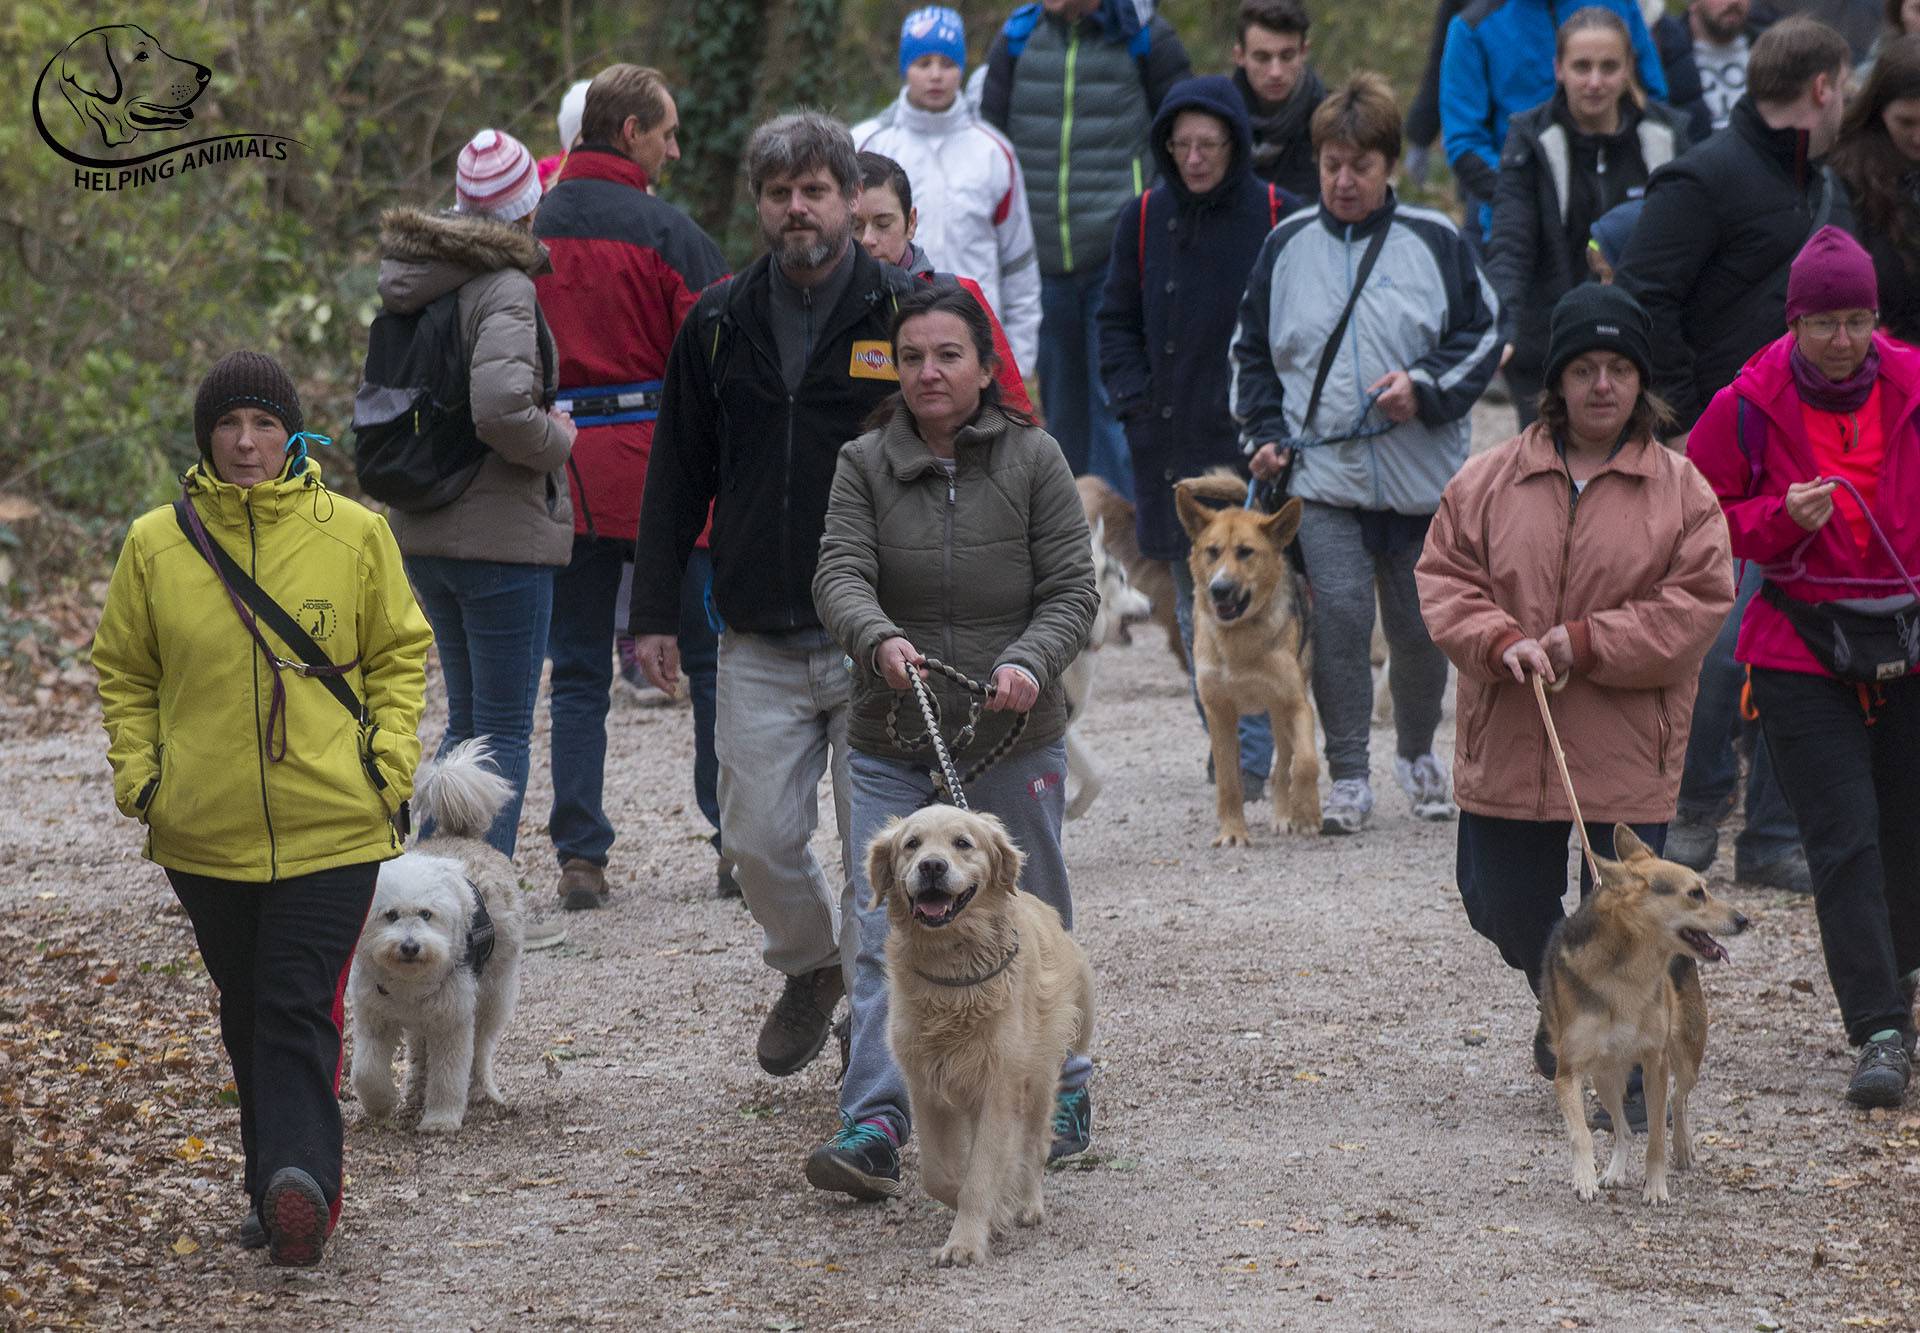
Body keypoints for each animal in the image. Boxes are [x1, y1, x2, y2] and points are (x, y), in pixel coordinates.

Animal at [347, 741, 522, 1137]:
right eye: (391, 915)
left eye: (427, 915)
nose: (411, 946)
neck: (407, 983)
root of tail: (459, 834)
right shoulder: (374, 1018)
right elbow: (366, 1069)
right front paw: (381, 1103)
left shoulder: (451, 1021)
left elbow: (449, 1073)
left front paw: (441, 1119)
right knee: (419, 1053)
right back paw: (414, 1091)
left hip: (491, 993)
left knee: (480, 1049)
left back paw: (481, 1091)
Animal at [1543, 825, 1758, 1213]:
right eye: (1695, 893)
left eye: (1705, 888)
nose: (1743, 920)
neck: (1625, 971)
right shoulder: (1568, 1071)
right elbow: (1581, 1133)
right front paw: (1584, 1178)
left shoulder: (1655, 1063)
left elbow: (1656, 1134)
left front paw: (1656, 1187)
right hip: (1605, 1076)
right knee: (1623, 1128)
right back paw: (1613, 1171)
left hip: (1687, 1054)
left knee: (1678, 1098)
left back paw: (1684, 1149)